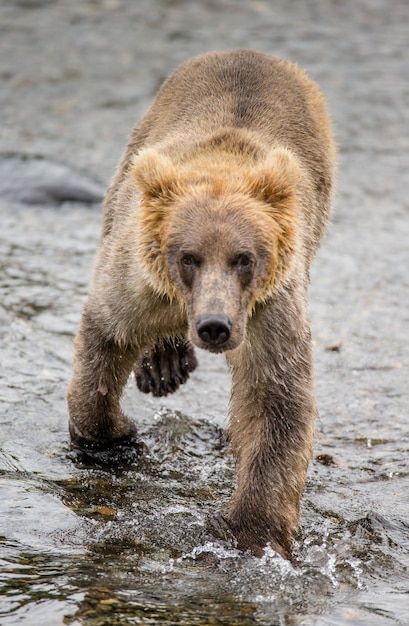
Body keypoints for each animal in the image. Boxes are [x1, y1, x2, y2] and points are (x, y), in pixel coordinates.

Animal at [67, 48, 334, 556]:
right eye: (188, 256)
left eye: (244, 257)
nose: (214, 325)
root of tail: (250, 53)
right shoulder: (138, 280)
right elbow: (106, 337)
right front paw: (116, 436)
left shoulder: (267, 310)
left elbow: (277, 400)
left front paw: (257, 529)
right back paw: (164, 367)